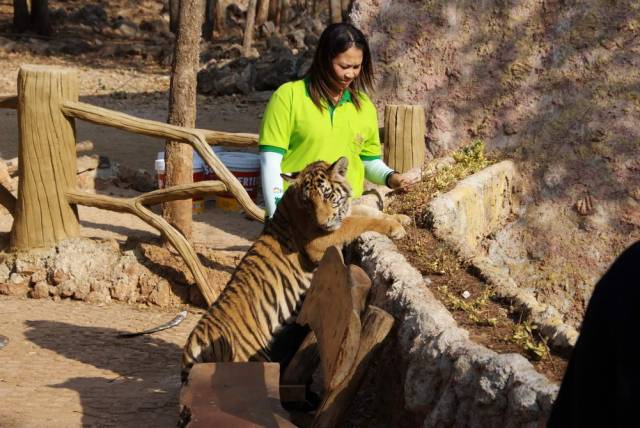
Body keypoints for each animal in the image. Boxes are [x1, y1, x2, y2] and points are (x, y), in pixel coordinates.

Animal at [182, 156, 408, 382]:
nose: (322, 223)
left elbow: (368, 212)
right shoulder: (320, 240)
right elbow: (360, 221)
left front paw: (401, 218)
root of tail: (194, 340)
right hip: (252, 357)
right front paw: (395, 228)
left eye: (327, 195)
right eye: (308, 201)